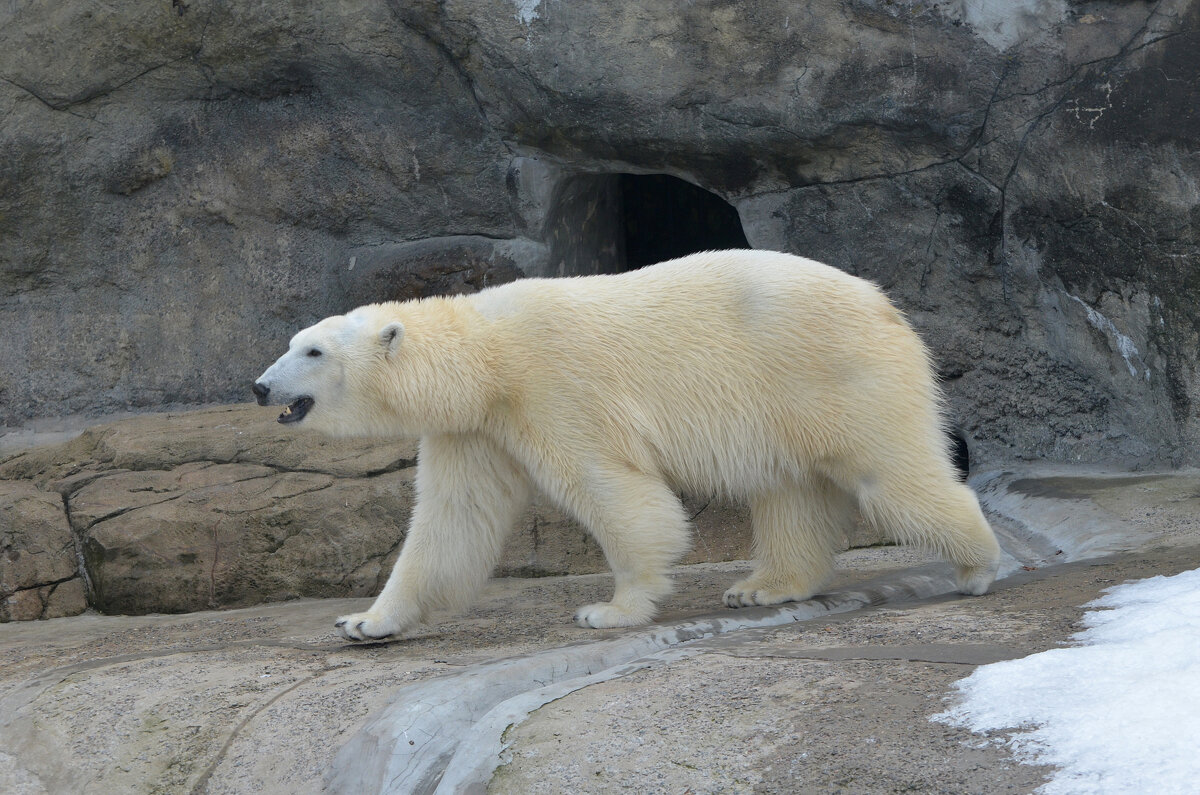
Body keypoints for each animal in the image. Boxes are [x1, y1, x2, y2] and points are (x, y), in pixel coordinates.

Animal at [253, 249, 1003, 643]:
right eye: (293, 341)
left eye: (312, 350)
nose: (260, 386)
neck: (488, 354)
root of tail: (885, 303)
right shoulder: (475, 428)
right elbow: (451, 522)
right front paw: (366, 621)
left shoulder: (555, 388)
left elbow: (617, 491)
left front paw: (611, 608)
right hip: (789, 400)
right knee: (792, 492)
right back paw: (761, 586)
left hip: (837, 371)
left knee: (890, 472)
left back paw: (976, 566)